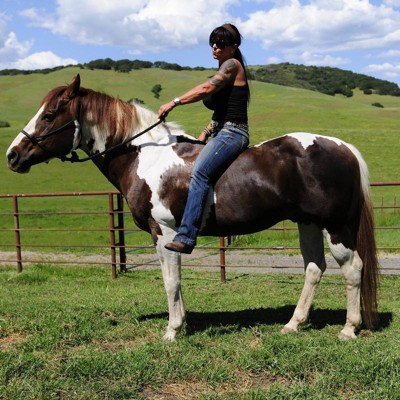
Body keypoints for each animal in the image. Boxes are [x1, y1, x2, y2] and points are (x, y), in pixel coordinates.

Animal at [6, 75, 379, 341]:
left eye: (50, 115)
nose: (12, 155)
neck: (144, 156)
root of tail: (345, 148)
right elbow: (174, 280)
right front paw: (180, 323)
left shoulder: (165, 232)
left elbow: (171, 281)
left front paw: (171, 331)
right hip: (307, 223)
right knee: (314, 268)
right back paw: (293, 324)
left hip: (336, 226)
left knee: (353, 269)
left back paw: (349, 328)